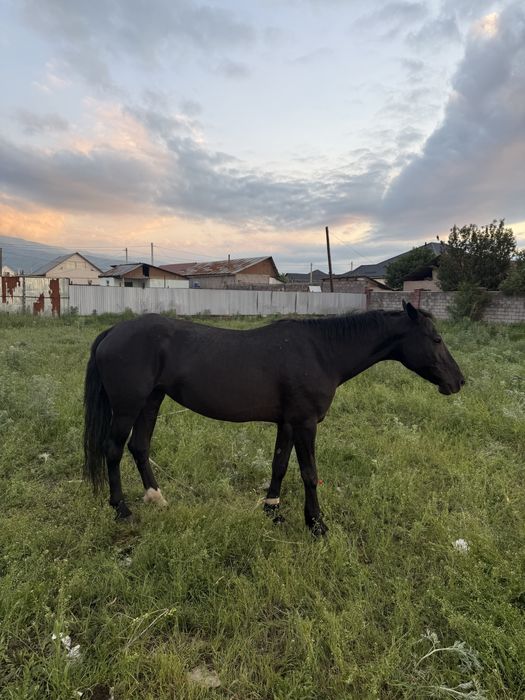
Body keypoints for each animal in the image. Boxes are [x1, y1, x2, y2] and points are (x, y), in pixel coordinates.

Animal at [83, 301, 464, 535]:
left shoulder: (287, 423)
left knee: (139, 446)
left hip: (152, 401)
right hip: (129, 406)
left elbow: (279, 465)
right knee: (113, 450)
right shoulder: (305, 423)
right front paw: (316, 524)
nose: (459, 381)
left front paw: (272, 509)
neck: (322, 352)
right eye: (436, 338)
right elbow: (309, 473)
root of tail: (113, 332)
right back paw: (121, 509)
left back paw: (157, 499)